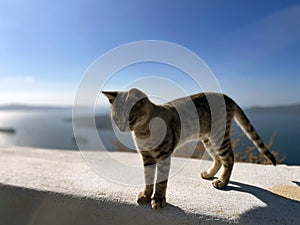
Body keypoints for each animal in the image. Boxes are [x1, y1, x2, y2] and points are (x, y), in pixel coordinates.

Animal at [103, 87, 276, 209]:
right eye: (115, 118)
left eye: (130, 117)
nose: (121, 127)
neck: (143, 133)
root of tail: (227, 96)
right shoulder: (147, 157)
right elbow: (148, 179)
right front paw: (146, 195)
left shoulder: (164, 155)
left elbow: (160, 181)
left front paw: (158, 199)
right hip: (208, 139)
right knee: (218, 158)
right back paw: (209, 174)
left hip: (218, 136)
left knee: (229, 158)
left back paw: (222, 182)